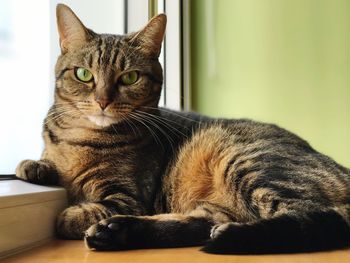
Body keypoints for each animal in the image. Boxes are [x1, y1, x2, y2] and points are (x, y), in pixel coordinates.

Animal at [15, 4, 350, 255]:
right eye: (84, 74)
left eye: (130, 77)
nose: (102, 101)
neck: (80, 139)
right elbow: (45, 160)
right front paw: (34, 165)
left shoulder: (129, 196)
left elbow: (91, 209)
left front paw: (71, 215)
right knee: (199, 224)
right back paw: (119, 232)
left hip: (248, 161)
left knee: (319, 217)